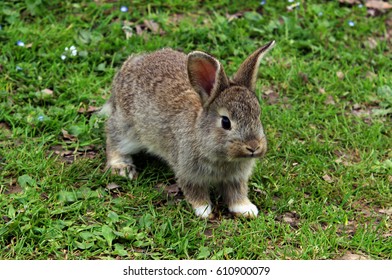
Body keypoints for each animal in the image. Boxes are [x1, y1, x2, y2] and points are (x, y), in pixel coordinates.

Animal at [102, 40, 278, 218]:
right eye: (225, 122)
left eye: (258, 115)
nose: (254, 147)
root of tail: (126, 69)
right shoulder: (188, 171)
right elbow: (194, 190)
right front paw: (204, 210)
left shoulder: (236, 178)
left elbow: (237, 192)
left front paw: (246, 209)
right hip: (127, 128)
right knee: (114, 140)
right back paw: (122, 167)